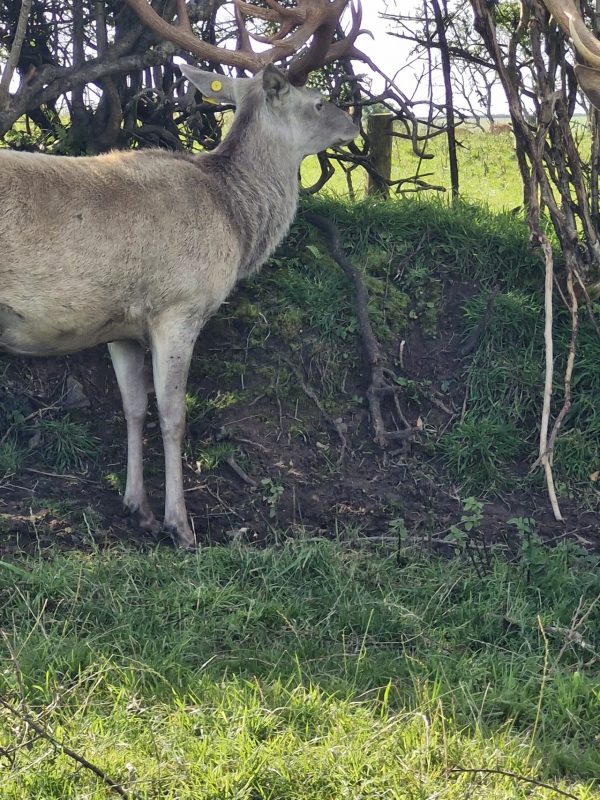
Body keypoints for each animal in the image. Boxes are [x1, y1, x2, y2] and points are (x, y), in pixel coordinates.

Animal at [0, 0, 361, 548]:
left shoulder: (120, 325)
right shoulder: (179, 306)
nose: (355, 122)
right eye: (320, 102)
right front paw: (181, 525)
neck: (233, 218)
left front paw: (138, 508)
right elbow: (174, 415)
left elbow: (133, 407)